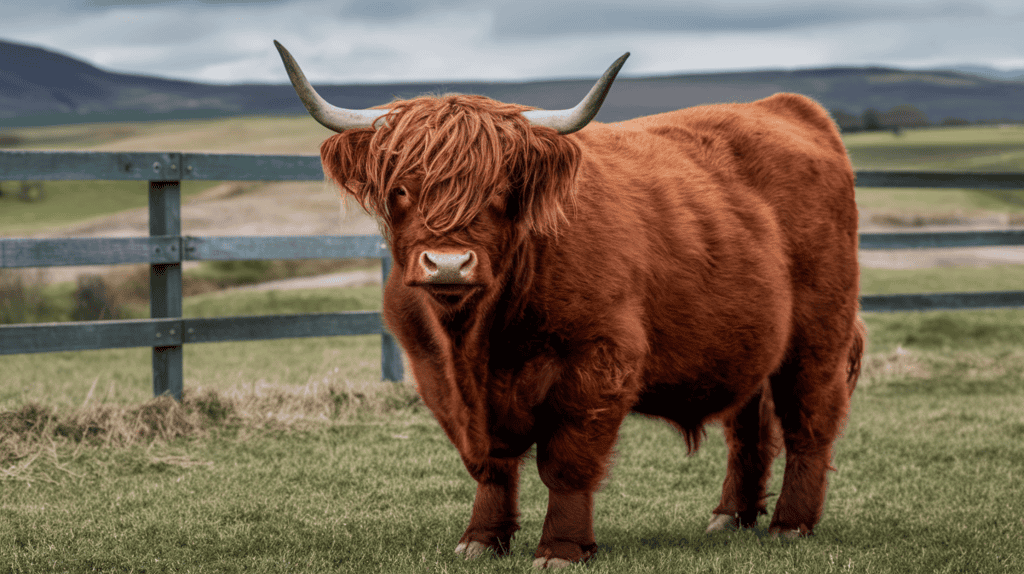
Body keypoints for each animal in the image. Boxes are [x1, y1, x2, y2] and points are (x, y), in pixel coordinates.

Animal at [275, 41, 864, 569]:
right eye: (400, 189)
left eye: (500, 189)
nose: (447, 263)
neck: (477, 340)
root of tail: (786, 107)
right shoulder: (436, 374)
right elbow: (490, 463)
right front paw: (481, 538)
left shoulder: (598, 360)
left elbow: (567, 462)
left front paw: (561, 548)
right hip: (747, 341)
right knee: (748, 426)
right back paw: (729, 517)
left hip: (818, 333)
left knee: (809, 420)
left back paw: (790, 524)